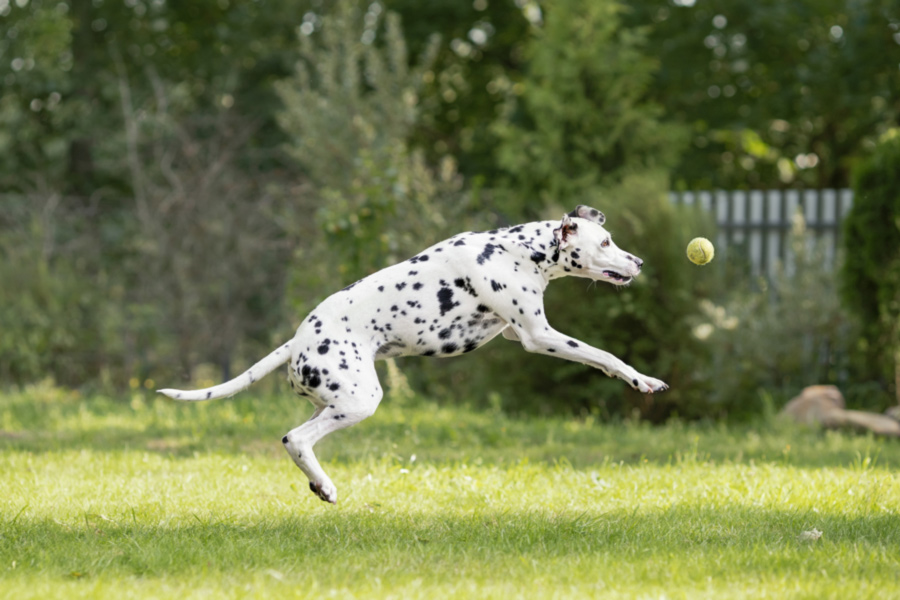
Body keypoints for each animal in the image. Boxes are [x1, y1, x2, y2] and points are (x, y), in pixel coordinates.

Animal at [158, 204, 668, 504]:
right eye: (605, 242)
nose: (641, 262)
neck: (516, 250)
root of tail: (298, 340)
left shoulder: (513, 333)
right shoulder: (537, 334)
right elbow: (603, 354)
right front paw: (641, 379)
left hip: (335, 401)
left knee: (301, 438)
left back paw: (318, 483)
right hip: (361, 400)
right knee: (295, 439)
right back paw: (326, 485)